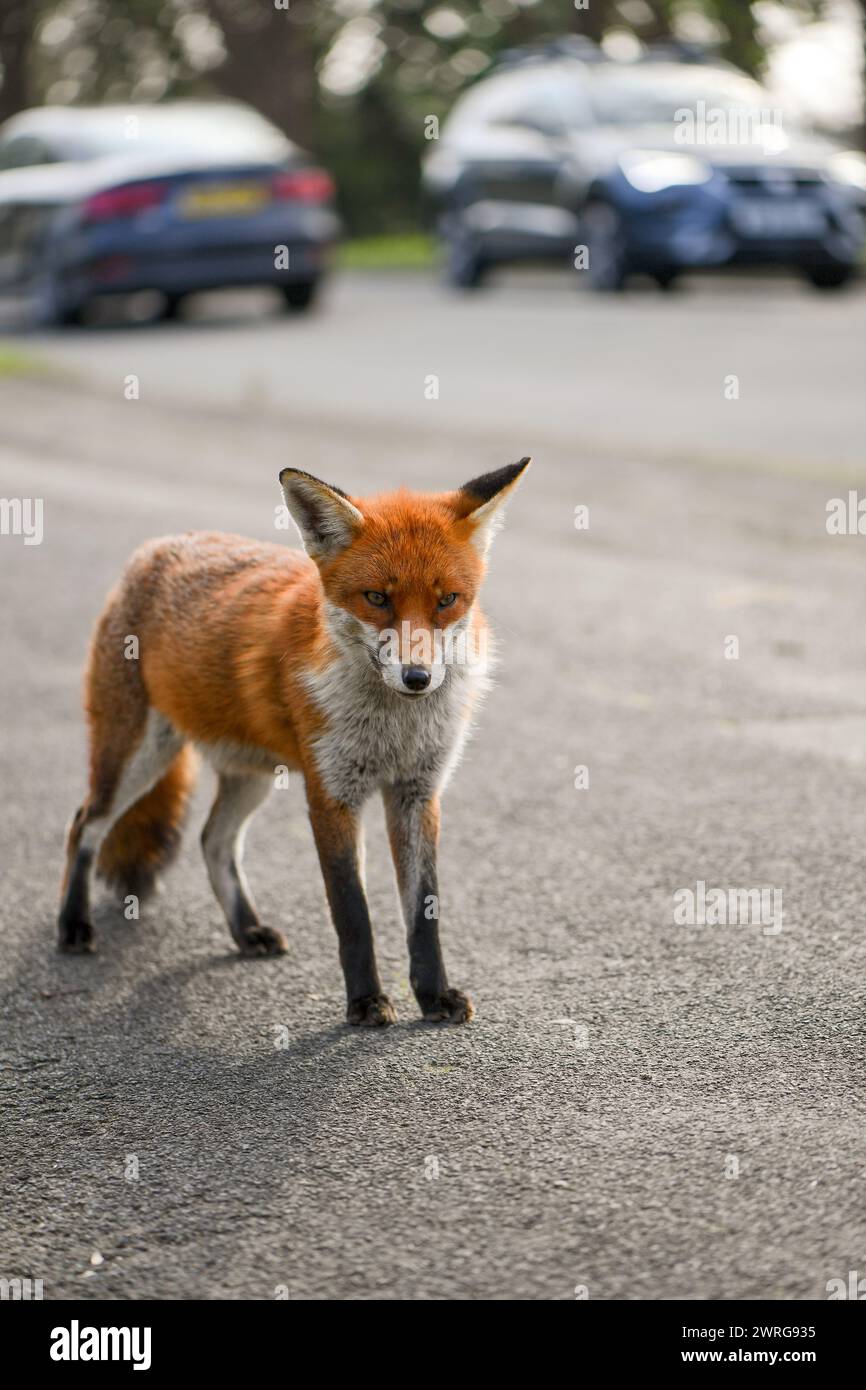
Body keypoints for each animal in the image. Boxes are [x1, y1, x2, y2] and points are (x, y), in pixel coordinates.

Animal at [58, 457, 531, 1026]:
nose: (417, 678)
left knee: (213, 841)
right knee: (84, 825)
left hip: (249, 776)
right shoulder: (331, 794)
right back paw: (73, 926)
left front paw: (434, 995)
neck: (393, 729)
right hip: (135, 757)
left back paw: (246, 932)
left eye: (446, 600)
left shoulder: (417, 793)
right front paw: (365, 1001)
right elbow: (352, 912)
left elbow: (424, 911)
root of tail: (157, 547)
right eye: (377, 598)